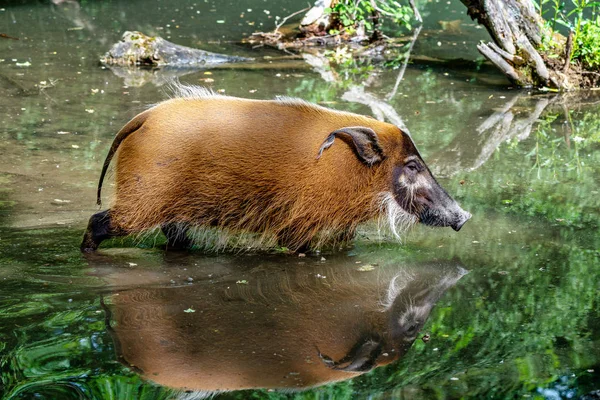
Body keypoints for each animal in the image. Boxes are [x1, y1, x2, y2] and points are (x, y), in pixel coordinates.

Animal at [82, 84, 472, 252]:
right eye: (412, 165)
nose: (464, 216)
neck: (348, 168)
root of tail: (143, 118)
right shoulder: (299, 226)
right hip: (142, 200)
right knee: (98, 222)